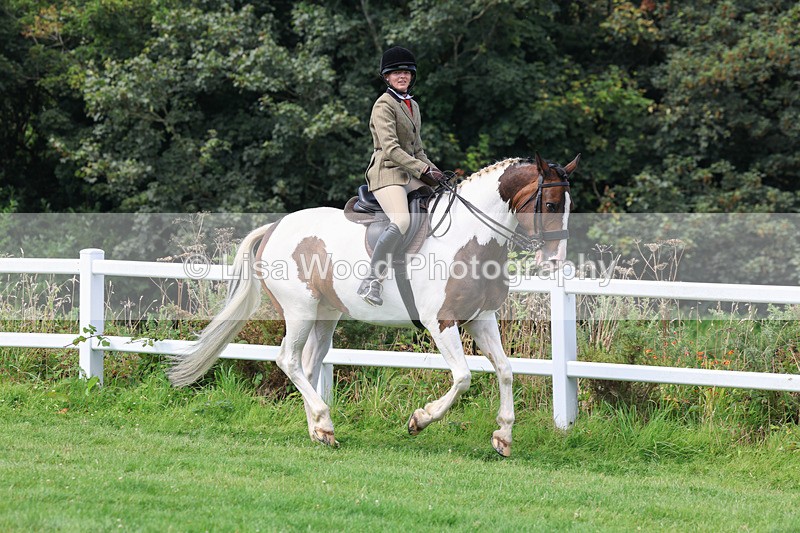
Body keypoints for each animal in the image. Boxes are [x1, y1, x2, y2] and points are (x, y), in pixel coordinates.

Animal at [168, 152, 580, 457]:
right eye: (551, 203)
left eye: (568, 206)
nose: (555, 261)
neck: (470, 237)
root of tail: (274, 228)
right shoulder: (441, 321)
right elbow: (463, 377)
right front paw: (419, 419)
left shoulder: (482, 318)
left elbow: (506, 370)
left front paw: (503, 436)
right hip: (299, 312)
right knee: (287, 360)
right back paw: (324, 421)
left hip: (325, 316)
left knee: (307, 364)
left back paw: (319, 430)